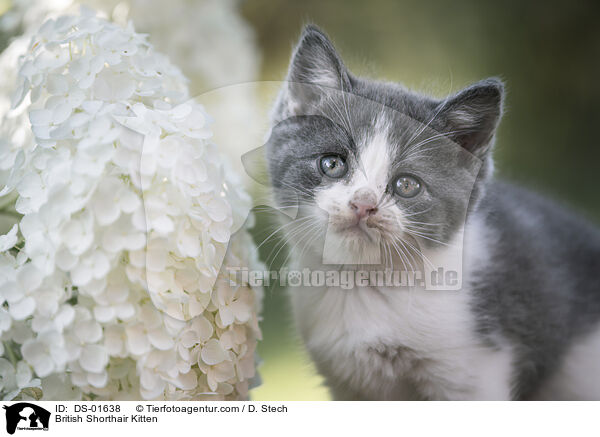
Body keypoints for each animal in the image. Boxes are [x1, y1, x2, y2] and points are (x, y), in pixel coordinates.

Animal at [266, 23, 600, 398]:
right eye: (332, 164)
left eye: (407, 185)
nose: (363, 204)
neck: (365, 284)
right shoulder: (347, 384)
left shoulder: (474, 373)